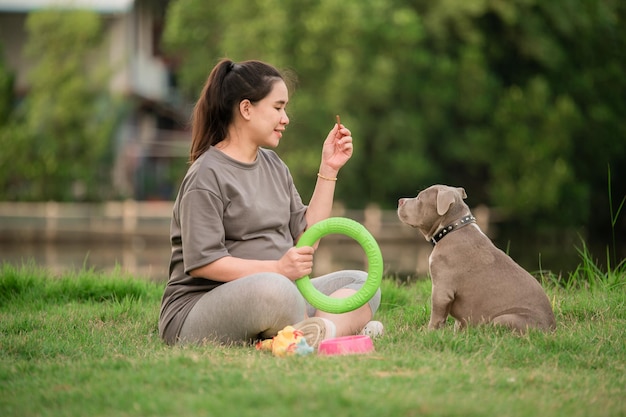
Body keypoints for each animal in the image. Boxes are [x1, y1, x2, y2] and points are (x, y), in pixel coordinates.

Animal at [398, 184, 552, 332]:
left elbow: (436, 315)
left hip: (504, 319)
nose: (400, 200)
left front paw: (429, 333)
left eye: (419, 198)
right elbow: (457, 322)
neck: (452, 227)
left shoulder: (441, 290)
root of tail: (551, 329)